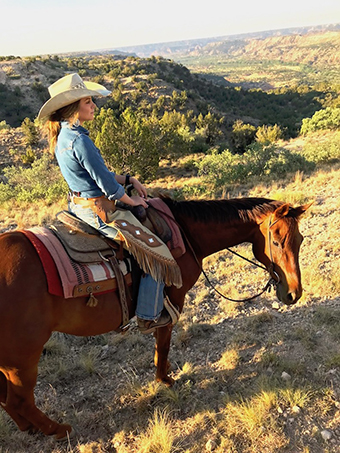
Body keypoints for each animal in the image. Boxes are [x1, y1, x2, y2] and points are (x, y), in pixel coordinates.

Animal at [0, 197, 310, 438]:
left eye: (300, 240)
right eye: (277, 241)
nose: (293, 293)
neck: (186, 233)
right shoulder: (172, 299)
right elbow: (164, 340)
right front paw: (165, 378)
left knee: (7, 399)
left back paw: (30, 428)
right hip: (23, 356)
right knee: (19, 400)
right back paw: (57, 429)